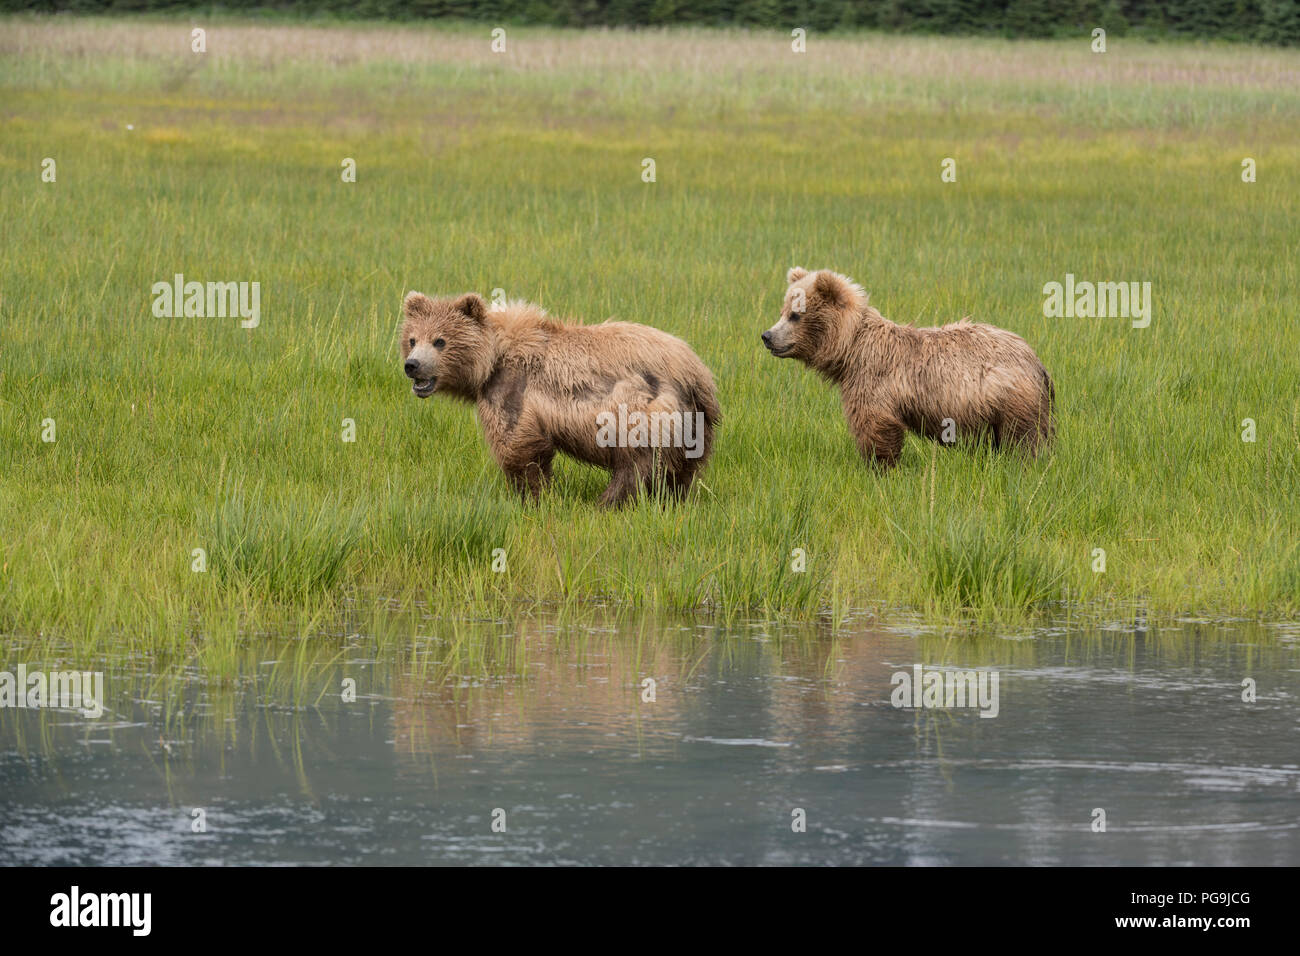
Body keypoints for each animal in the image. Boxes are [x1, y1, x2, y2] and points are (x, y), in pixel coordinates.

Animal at [397, 293, 722, 509]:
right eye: (412, 339)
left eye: (440, 341)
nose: (412, 365)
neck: (492, 360)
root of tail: (697, 373)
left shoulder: (514, 389)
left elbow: (518, 449)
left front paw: (531, 497)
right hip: (695, 424)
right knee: (682, 468)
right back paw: (673, 500)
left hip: (639, 408)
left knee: (637, 463)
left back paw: (606, 502)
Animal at [759, 269, 1055, 468]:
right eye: (783, 310)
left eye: (795, 315)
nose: (767, 336)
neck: (852, 349)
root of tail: (1035, 359)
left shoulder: (874, 379)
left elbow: (876, 425)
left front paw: (880, 466)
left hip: (1009, 397)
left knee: (1023, 439)